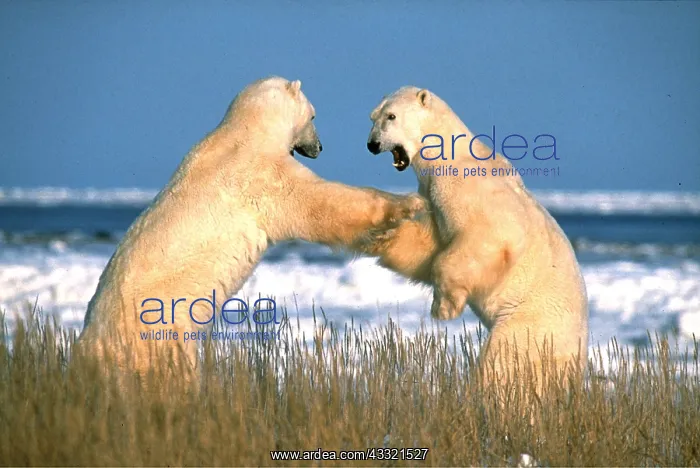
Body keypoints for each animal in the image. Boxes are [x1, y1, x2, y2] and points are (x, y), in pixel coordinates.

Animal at [77, 76, 426, 387]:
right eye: (313, 115)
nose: (319, 147)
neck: (246, 132)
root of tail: (91, 346)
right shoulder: (261, 177)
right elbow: (324, 204)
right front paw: (410, 202)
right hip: (157, 329)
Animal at [362, 86, 589, 395]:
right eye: (373, 117)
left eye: (391, 116)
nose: (372, 144)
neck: (447, 156)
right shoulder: (432, 194)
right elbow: (428, 247)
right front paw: (384, 235)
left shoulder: (468, 190)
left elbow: (487, 237)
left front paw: (443, 307)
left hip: (530, 325)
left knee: (503, 362)